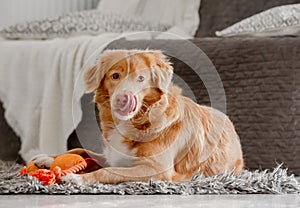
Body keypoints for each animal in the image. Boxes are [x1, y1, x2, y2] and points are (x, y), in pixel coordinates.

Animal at [32, 49, 244, 184]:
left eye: (141, 79)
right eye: (115, 76)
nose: (123, 98)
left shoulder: (156, 169)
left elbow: (108, 171)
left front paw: (78, 178)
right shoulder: (114, 155)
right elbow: (81, 150)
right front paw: (48, 159)